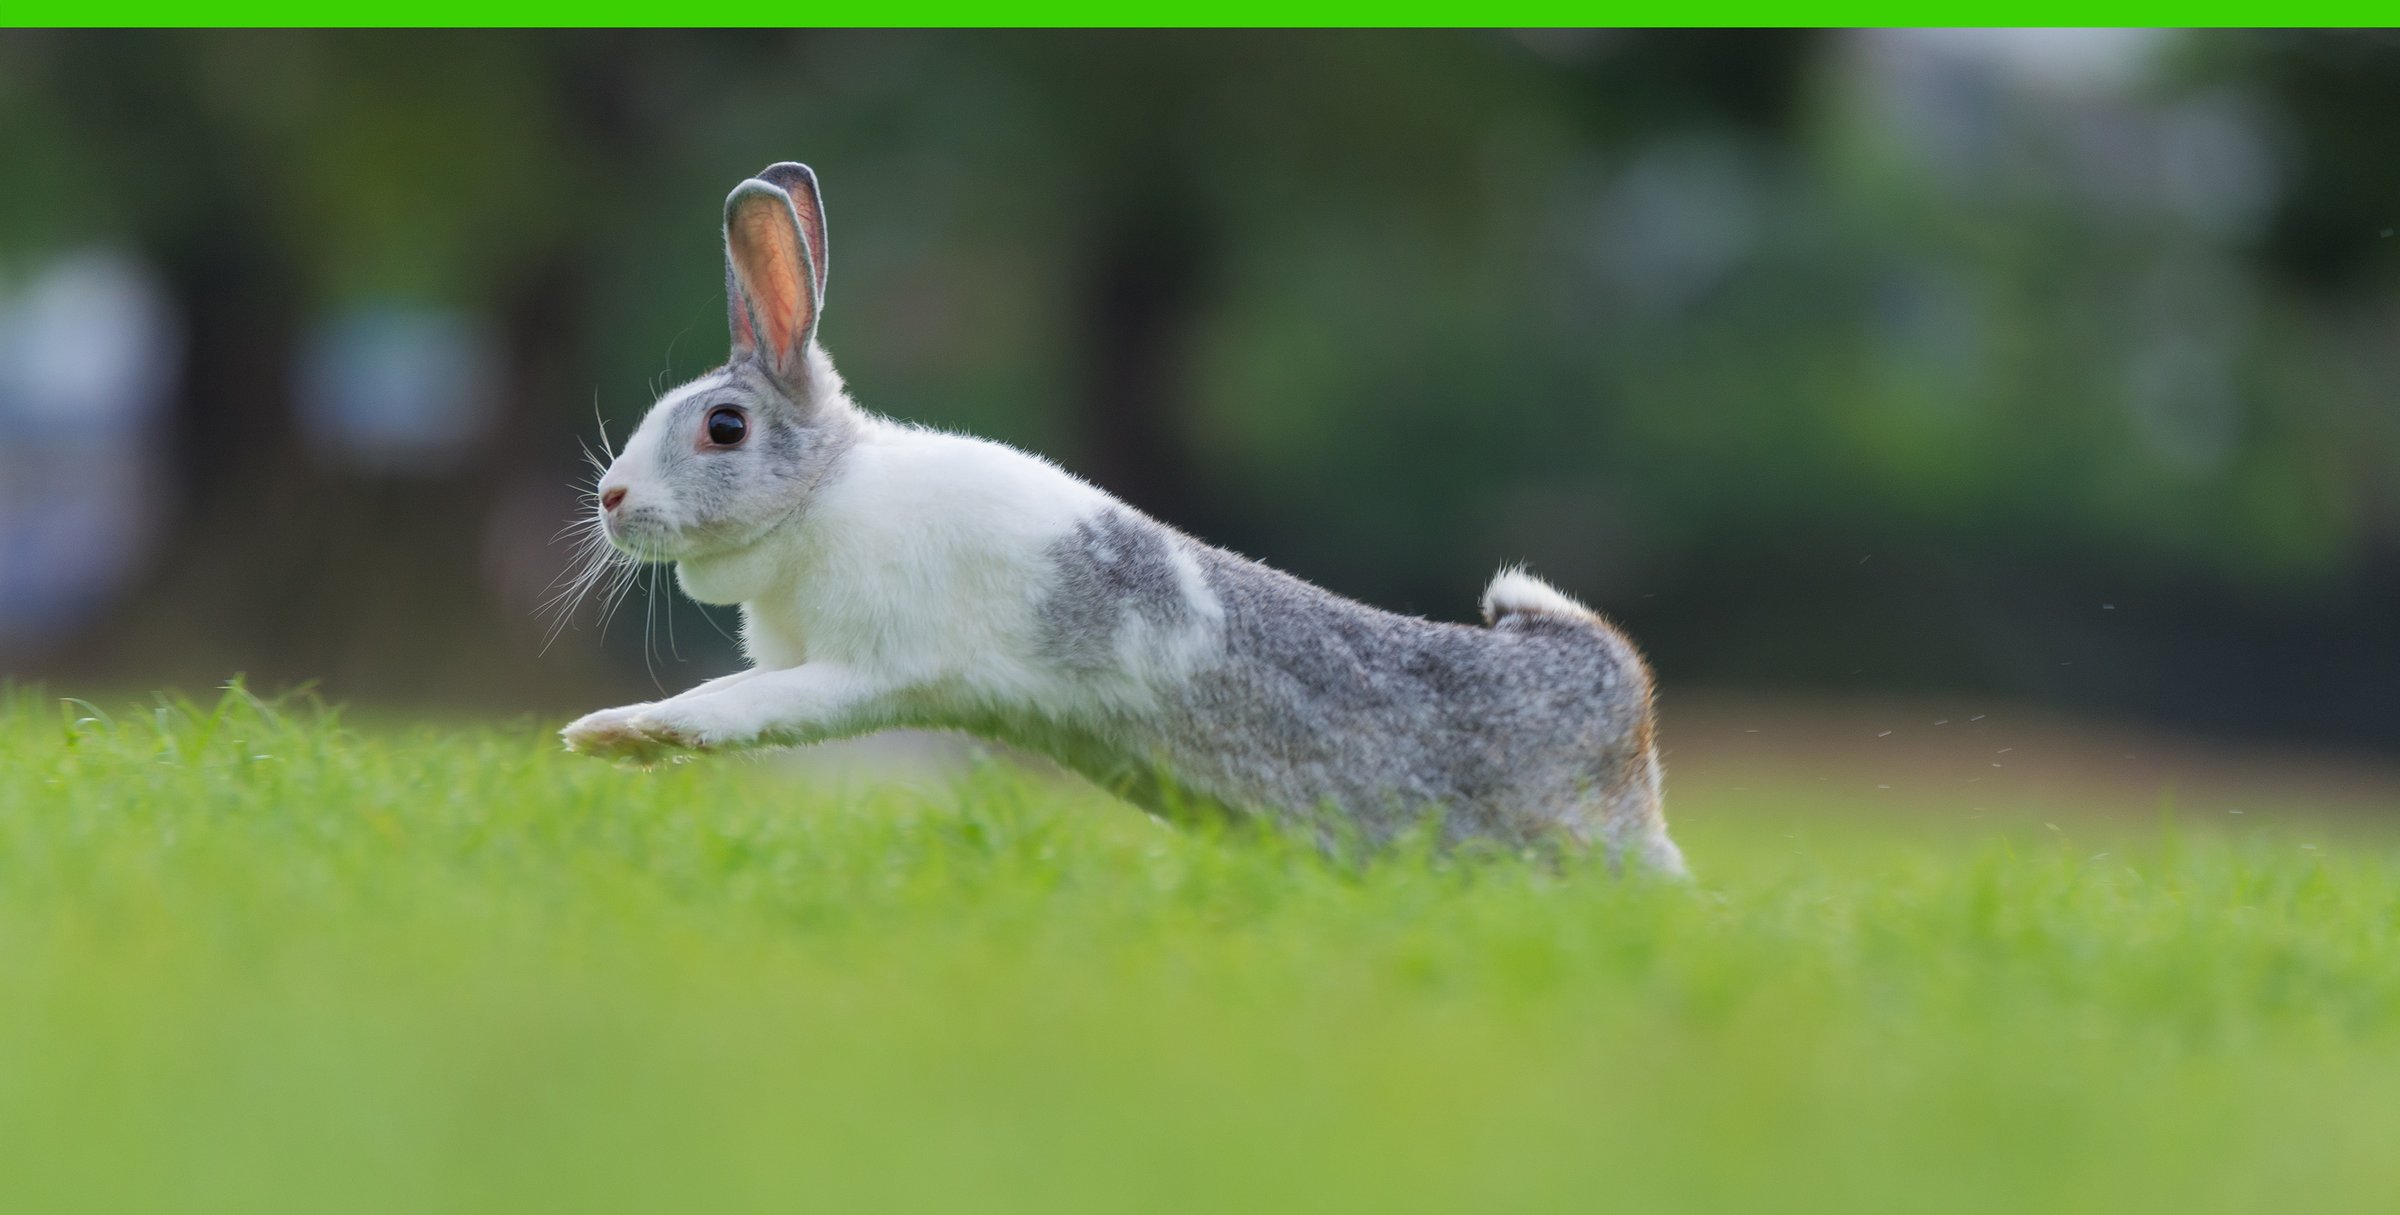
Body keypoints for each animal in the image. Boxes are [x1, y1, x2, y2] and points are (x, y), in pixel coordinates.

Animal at [560, 162, 1686, 876]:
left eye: (724, 427)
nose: (611, 501)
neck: (823, 491)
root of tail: (1622, 703)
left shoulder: (858, 670)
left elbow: (739, 709)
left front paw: (616, 732)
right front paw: (609, 739)